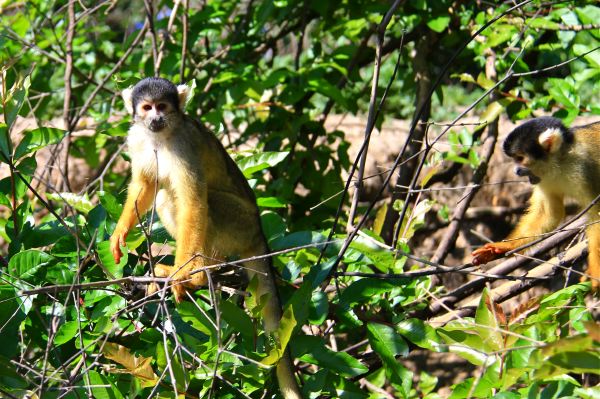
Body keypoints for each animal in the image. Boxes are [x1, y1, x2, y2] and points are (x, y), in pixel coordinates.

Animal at [110, 76, 302, 398]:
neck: (161, 136)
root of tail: (259, 233)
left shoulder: (185, 144)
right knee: (164, 195)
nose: (156, 119)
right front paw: (120, 232)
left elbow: (194, 203)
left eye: (163, 107)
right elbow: (144, 185)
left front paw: (182, 273)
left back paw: (200, 272)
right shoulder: (136, 137)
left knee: (201, 200)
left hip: (241, 223)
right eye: (147, 108)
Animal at [474, 116, 600, 290]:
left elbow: (596, 215)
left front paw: (596, 273)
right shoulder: (543, 178)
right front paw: (503, 247)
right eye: (515, 159)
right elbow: (549, 214)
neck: (562, 161)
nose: (516, 171)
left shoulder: (584, 169)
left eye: (520, 158)